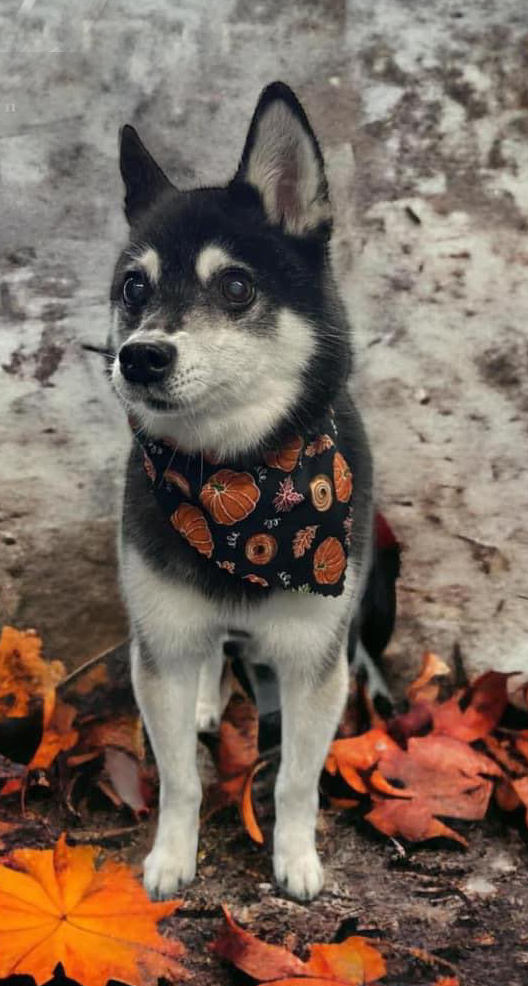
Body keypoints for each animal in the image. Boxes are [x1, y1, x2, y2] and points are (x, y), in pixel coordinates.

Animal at [109, 82, 379, 901]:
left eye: (235, 286)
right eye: (134, 287)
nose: (140, 357)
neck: (237, 477)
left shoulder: (312, 657)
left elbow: (295, 779)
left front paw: (296, 858)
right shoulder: (162, 643)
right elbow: (180, 778)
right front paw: (172, 857)